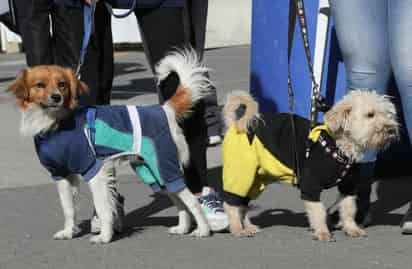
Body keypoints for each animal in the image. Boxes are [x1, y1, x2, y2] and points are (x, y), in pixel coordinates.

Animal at [6, 48, 212, 243]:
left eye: (62, 84)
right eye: (40, 85)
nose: (56, 97)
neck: (56, 124)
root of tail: (164, 109)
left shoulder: (94, 171)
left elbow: (103, 207)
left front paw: (105, 237)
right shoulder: (60, 175)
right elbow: (68, 208)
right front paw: (68, 232)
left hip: (163, 165)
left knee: (192, 200)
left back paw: (203, 230)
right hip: (152, 173)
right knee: (179, 200)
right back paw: (182, 228)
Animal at [222, 90, 400, 241]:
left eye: (388, 114)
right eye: (370, 114)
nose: (392, 130)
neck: (338, 147)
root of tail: (236, 124)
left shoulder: (348, 186)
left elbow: (349, 209)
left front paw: (351, 228)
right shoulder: (310, 185)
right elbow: (318, 211)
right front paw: (322, 232)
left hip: (256, 181)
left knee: (242, 204)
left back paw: (248, 227)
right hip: (241, 175)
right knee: (231, 203)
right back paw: (237, 228)